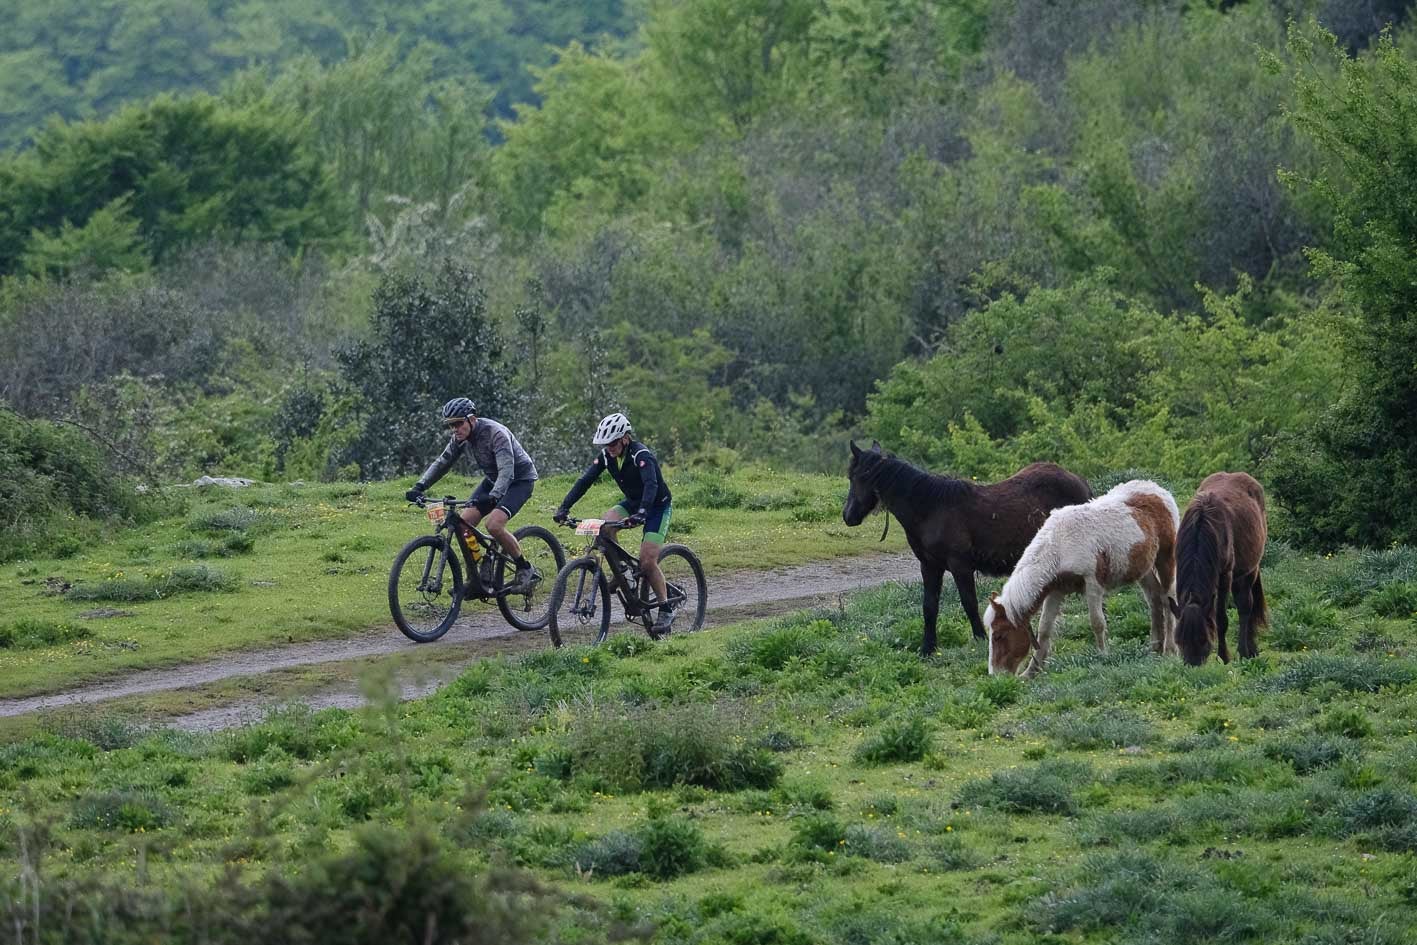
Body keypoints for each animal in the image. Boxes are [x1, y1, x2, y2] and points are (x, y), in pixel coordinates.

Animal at [838, 444, 1093, 657]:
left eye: (856, 477)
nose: (848, 516)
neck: (931, 509)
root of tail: (1079, 481)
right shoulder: (929, 566)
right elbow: (929, 606)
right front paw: (927, 648)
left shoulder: (960, 566)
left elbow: (969, 603)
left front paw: (980, 639)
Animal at [980, 484, 1178, 677]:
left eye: (999, 636)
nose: (995, 675)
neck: (1060, 546)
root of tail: (1158, 490)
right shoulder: (1056, 591)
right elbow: (1044, 629)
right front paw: (1031, 672)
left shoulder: (1092, 584)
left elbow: (1097, 622)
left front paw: (1102, 657)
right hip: (1143, 569)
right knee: (1154, 599)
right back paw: (1155, 647)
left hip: (1165, 559)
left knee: (1168, 600)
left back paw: (1169, 649)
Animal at [1167, 470, 1269, 665]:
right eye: (1179, 640)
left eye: (1204, 639)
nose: (1192, 664)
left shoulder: (1225, 576)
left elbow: (1221, 619)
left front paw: (1224, 657)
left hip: (1249, 570)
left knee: (1245, 606)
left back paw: (1245, 651)